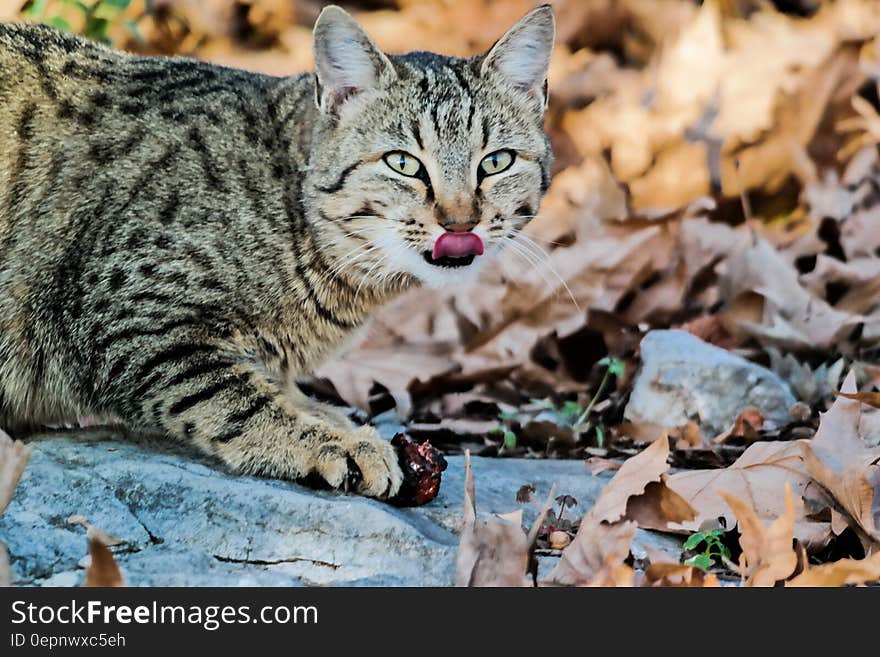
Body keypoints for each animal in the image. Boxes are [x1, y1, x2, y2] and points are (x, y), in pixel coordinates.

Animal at [0, 3, 552, 498]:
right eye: (403, 163)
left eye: (497, 162)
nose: (460, 222)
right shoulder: (129, 320)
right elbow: (234, 398)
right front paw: (331, 443)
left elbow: (272, 386)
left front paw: (334, 419)